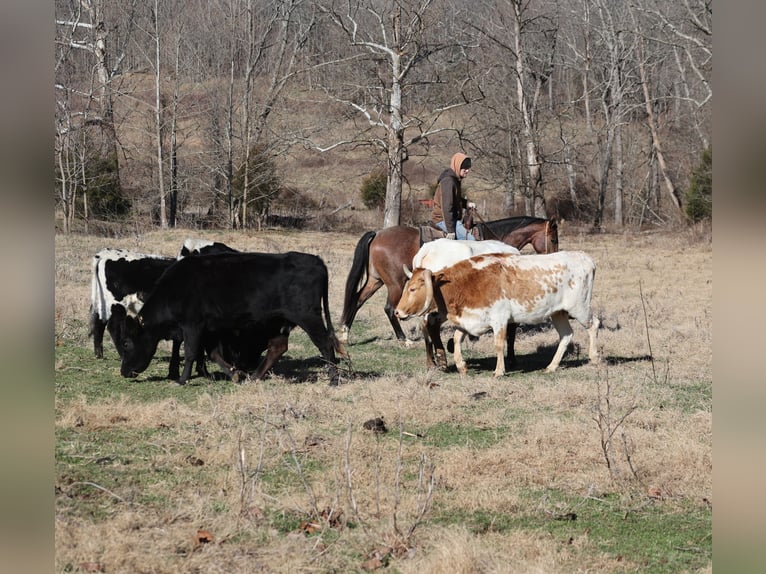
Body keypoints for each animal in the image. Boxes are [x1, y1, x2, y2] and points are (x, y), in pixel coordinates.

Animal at [340, 216, 558, 368]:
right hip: (395, 284)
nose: (552, 256)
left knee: (357, 300)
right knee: (391, 309)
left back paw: (345, 334)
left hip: (376, 281)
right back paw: (407, 341)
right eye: (553, 238)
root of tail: (377, 234)